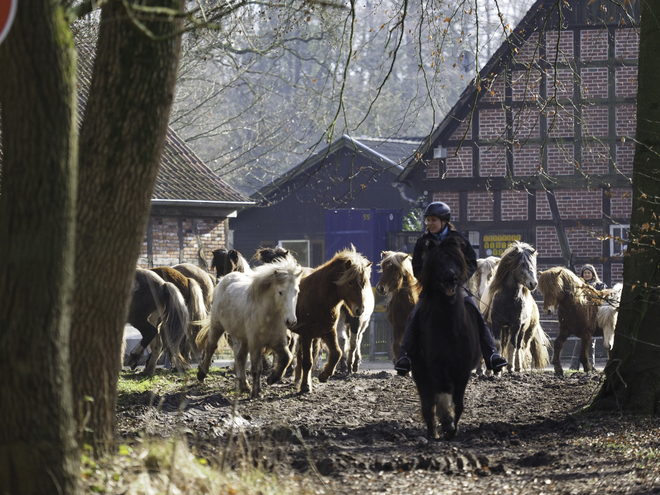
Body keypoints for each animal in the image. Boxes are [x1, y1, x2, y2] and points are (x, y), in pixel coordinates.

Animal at [193, 256, 302, 400]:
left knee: (241, 358)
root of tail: (225, 279)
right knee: (211, 346)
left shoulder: (278, 342)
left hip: (243, 338)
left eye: (296, 291)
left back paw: (244, 385)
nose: (291, 321)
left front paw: (271, 379)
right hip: (217, 324)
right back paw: (202, 373)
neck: (269, 316)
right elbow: (257, 367)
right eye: (280, 292)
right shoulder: (255, 343)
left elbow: (286, 358)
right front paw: (256, 392)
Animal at [290, 246, 372, 394]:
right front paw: (305, 386)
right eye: (350, 282)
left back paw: (296, 378)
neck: (318, 296)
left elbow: (336, 353)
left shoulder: (327, 331)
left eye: (363, 283)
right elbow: (307, 361)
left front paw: (324, 375)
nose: (360, 310)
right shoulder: (307, 334)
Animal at [412, 237, 480, 442]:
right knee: (428, 404)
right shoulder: (437, 365)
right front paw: (447, 422)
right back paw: (432, 433)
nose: (451, 278)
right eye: (437, 262)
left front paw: (453, 429)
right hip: (420, 372)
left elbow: (458, 400)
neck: (451, 327)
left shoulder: (463, 369)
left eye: (457, 260)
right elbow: (443, 392)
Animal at [476, 242, 548, 374]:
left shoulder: (516, 325)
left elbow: (512, 345)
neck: (509, 299)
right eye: (521, 264)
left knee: (519, 345)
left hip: (521, 329)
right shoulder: (496, 323)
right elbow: (497, 344)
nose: (533, 283)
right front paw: (496, 370)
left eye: (532, 264)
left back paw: (517, 367)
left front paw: (510, 368)